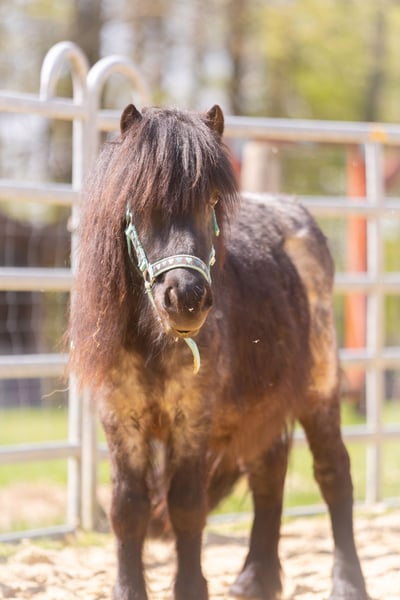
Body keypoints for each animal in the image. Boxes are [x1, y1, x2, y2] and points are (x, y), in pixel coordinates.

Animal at [69, 104, 368, 600]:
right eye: (139, 202)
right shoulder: (120, 418)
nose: (187, 297)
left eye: (210, 202)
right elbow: (127, 509)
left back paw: (348, 583)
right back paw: (254, 579)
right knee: (269, 472)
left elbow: (187, 505)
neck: (152, 338)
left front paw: (191, 587)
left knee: (334, 474)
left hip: (319, 389)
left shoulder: (193, 417)